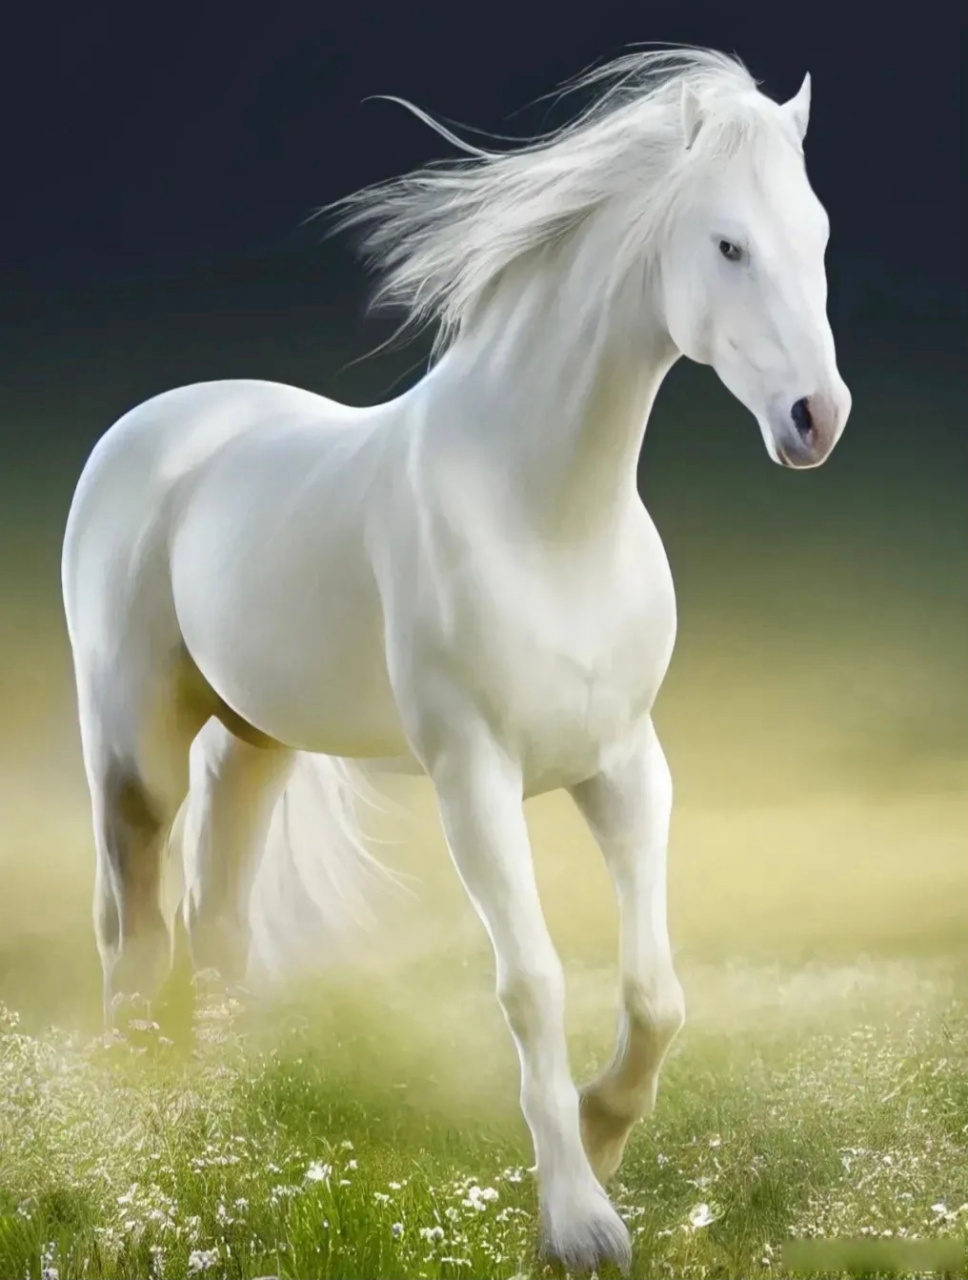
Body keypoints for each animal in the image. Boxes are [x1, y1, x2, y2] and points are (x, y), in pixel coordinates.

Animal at [61, 47, 851, 1271]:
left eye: (815, 235)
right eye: (728, 244)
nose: (816, 418)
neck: (545, 516)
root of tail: (153, 425)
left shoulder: (625, 766)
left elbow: (657, 994)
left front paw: (602, 1129)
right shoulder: (471, 778)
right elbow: (530, 983)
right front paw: (578, 1220)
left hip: (253, 743)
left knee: (220, 921)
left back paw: (229, 1138)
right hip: (133, 745)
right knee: (133, 930)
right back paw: (149, 1132)